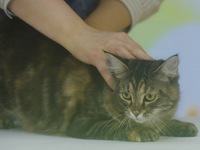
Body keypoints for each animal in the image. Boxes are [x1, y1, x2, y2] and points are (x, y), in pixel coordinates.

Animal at [0, 14, 197, 142]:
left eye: (149, 97)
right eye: (126, 95)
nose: (135, 112)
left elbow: (162, 122)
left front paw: (181, 125)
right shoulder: (82, 121)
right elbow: (119, 125)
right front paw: (142, 130)